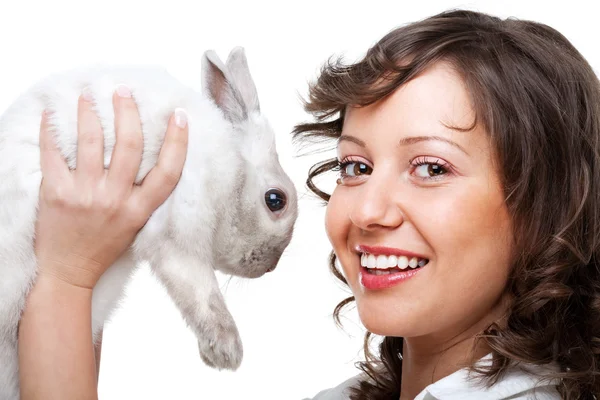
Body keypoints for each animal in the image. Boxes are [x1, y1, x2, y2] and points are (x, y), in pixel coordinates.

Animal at [0, 46, 298, 396]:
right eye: (275, 200)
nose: (270, 266)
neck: (231, 165)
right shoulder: (179, 225)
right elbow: (202, 292)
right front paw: (226, 352)